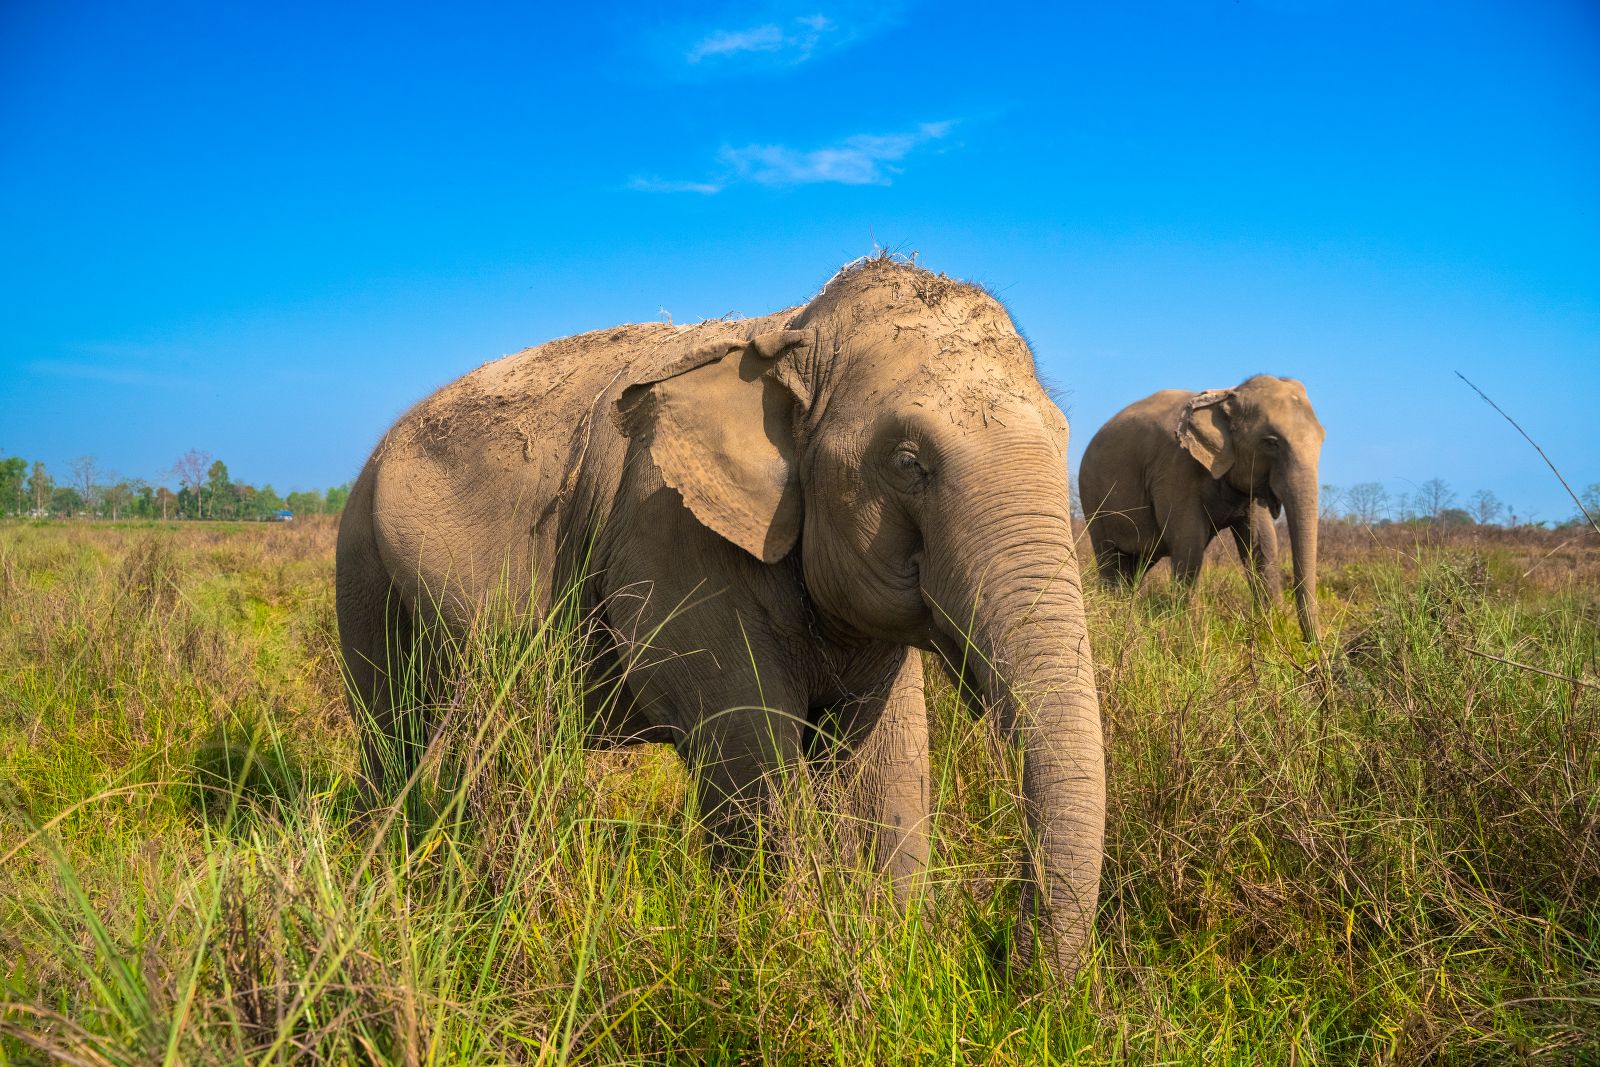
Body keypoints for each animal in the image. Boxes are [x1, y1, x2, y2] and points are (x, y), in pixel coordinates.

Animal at [336, 258, 1105, 981]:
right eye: (909, 462)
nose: (1006, 963)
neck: (793, 332)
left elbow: (887, 758)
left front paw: (896, 948)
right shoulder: (672, 536)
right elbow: (747, 745)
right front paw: (791, 946)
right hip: (361, 563)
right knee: (397, 728)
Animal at [1078, 375, 1325, 642]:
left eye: (1322, 439)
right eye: (1271, 443)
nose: (1311, 645)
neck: (1228, 396)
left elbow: (1263, 544)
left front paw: (1273, 632)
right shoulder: (1175, 468)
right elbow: (1189, 542)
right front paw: (1185, 631)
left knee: (1136, 567)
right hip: (1092, 498)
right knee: (1110, 560)